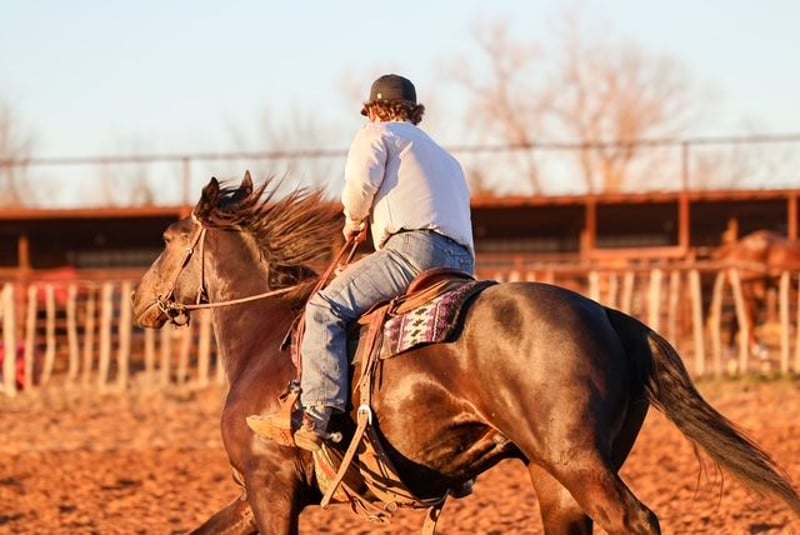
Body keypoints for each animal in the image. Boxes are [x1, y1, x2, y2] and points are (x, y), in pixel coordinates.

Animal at [131, 173, 800, 534]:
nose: (139, 301)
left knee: (635, 520)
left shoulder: (270, 485)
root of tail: (611, 316)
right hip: (552, 470)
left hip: (577, 461)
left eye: (167, 238)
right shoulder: (260, 492)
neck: (265, 332)